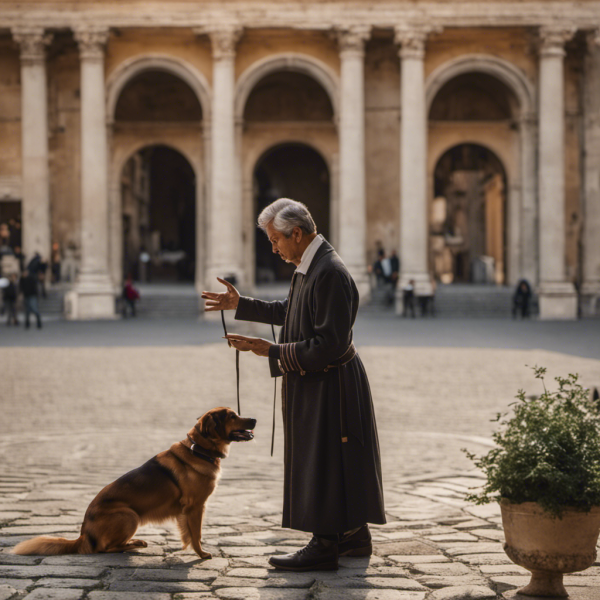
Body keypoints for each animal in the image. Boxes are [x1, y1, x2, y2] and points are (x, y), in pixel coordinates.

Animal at [11, 408, 255, 556]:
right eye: (232, 416)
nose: (254, 419)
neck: (199, 450)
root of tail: (83, 536)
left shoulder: (186, 511)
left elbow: (186, 532)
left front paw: (186, 548)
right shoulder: (196, 506)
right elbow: (197, 534)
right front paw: (201, 554)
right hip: (130, 515)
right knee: (104, 548)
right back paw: (131, 546)